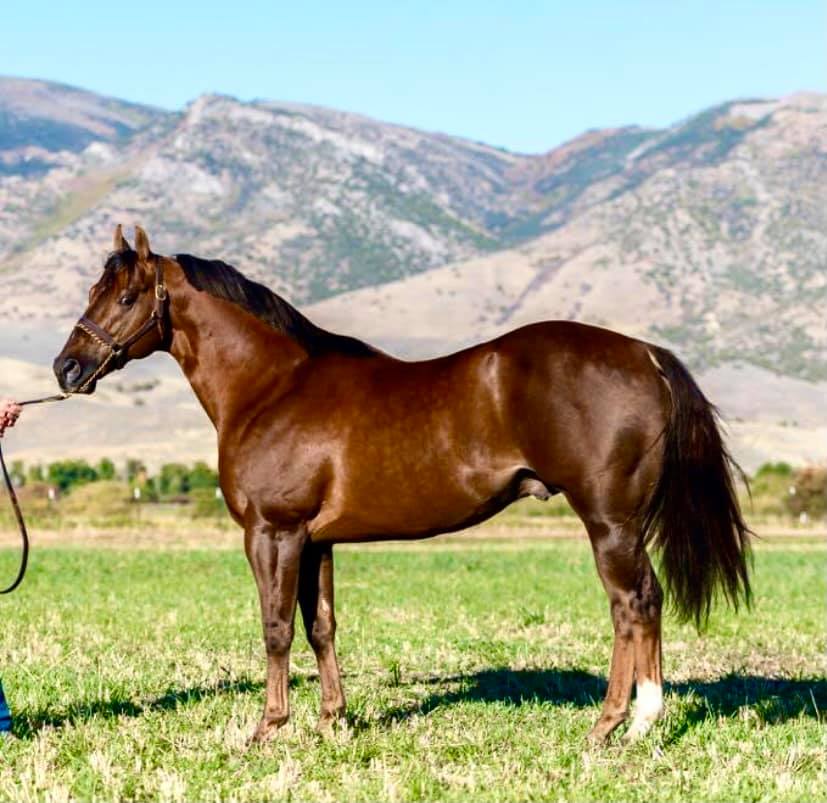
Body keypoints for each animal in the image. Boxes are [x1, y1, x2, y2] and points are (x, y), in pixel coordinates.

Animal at [53, 225, 751, 744]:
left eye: (123, 299)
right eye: (92, 289)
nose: (68, 368)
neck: (273, 387)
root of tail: (645, 354)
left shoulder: (273, 533)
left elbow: (276, 627)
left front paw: (268, 728)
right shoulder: (315, 541)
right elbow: (321, 625)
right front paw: (333, 722)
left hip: (608, 522)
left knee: (632, 605)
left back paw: (616, 725)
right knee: (644, 604)